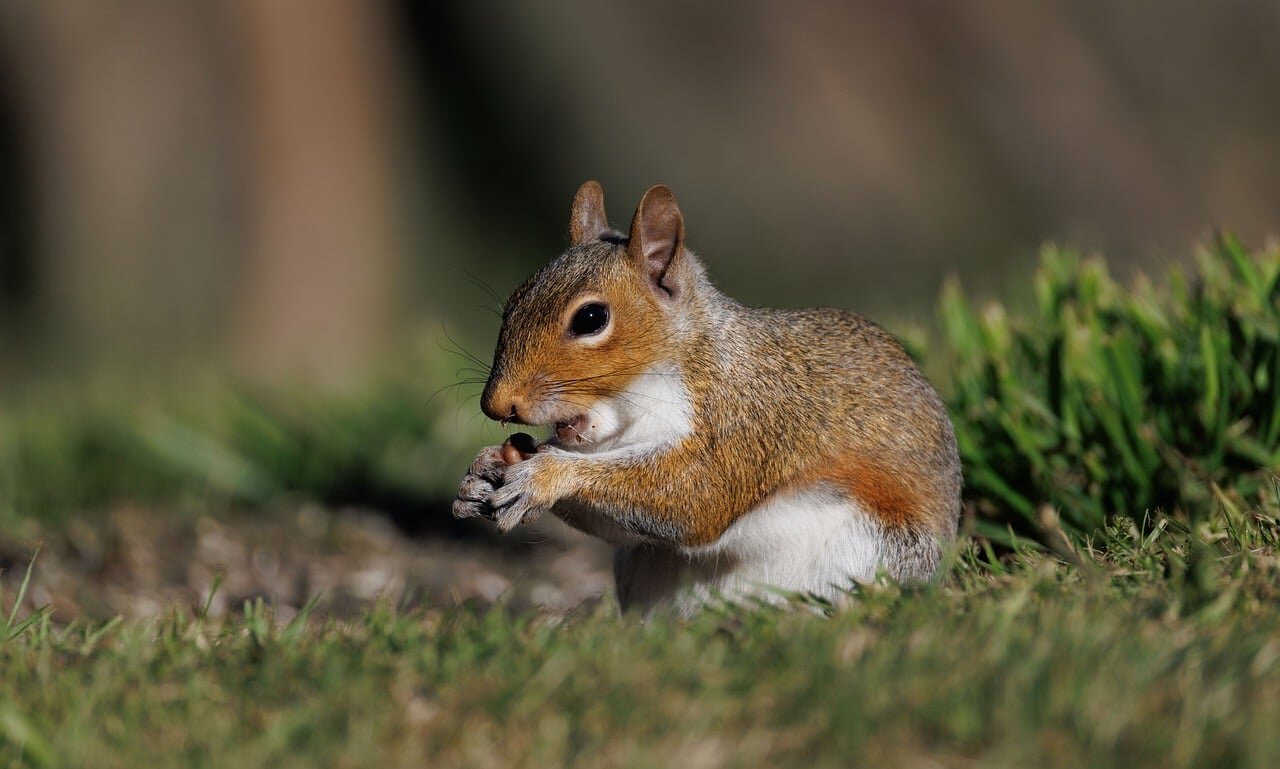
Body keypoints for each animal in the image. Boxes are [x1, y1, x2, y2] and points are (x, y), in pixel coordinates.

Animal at [453, 181, 961, 615]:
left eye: (591, 318)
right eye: (512, 303)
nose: (497, 405)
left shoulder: (746, 418)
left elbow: (695, 496)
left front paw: (544, 475)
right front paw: (483, 472)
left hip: (873, 550)